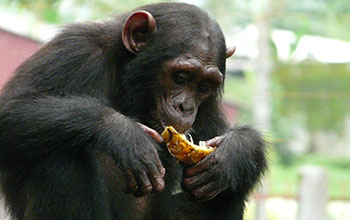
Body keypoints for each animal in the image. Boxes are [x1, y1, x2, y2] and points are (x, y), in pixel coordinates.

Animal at [0, 2, 266, 220]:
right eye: (180, 76)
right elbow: (11, 110)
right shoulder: (72, 50)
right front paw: (124, 134)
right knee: (61, 157)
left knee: (229, 190)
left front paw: (235, 152)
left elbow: (217, 137)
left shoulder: (208, 107)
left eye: (203, 86)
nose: (186, 107)